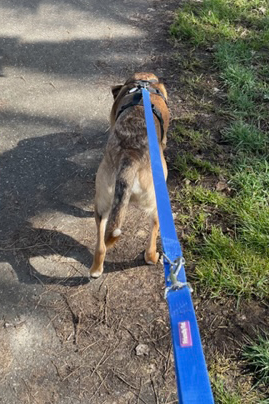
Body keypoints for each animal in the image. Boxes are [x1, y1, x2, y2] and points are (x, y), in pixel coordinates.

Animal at [90, 72, 170, 278]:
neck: (142, 84)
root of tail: (130, 157)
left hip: (102, 202)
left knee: (101, 245)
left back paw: (96, 270)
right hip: (155, 203)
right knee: (151, 242)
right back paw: (152, 257)